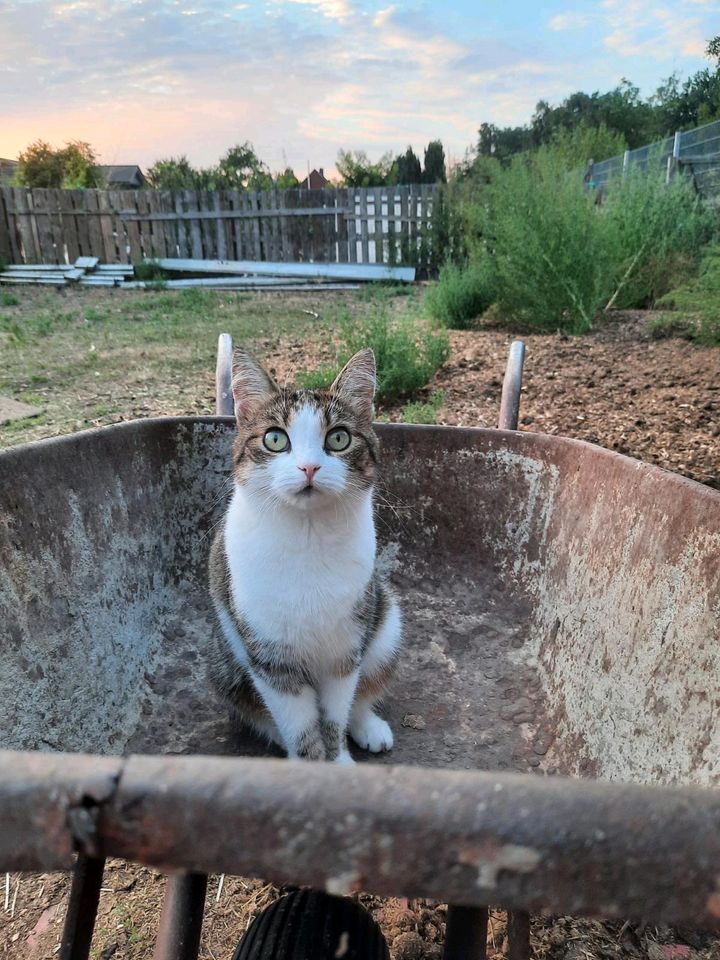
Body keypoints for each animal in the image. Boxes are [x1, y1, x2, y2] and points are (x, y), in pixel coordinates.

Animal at [208, 346, 402, 764]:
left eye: (339, 438)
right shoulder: (270, 657)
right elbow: (300, 726)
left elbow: (334, 716)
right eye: (275, 439)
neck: (307, 535)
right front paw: (309, 767)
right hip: (227, 668)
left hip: (386, 622)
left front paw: (339, 761)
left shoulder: (345, 650)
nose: (309, 467)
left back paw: (368, 724)